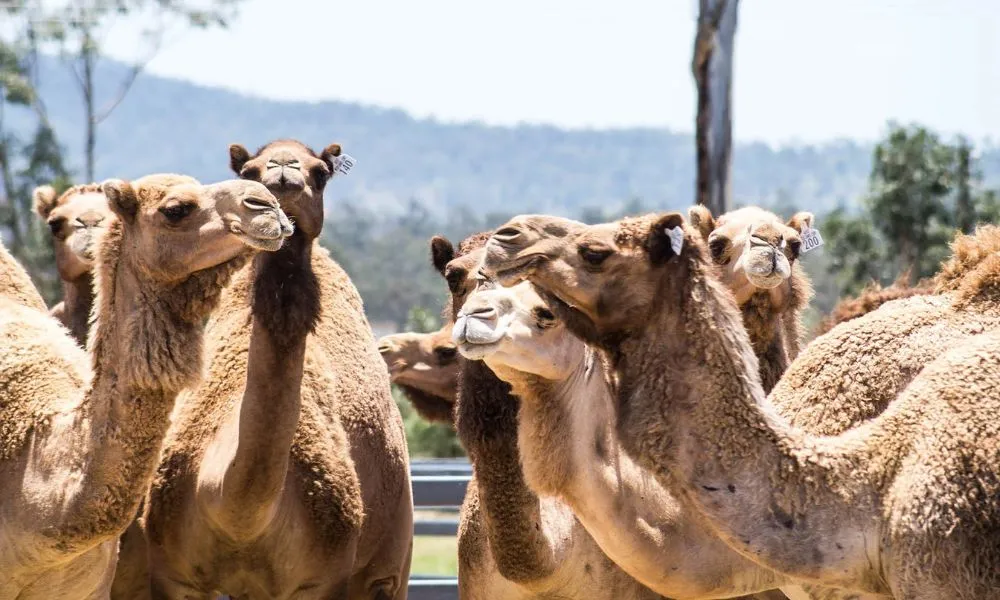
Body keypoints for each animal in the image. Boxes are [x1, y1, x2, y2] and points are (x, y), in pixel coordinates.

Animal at [142, 140, 413, 600]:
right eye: (249, 171)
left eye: (321, 173)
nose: (283, 171)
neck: (240, 518)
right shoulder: (173, 575)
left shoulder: (322, 580)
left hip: (390, 564)